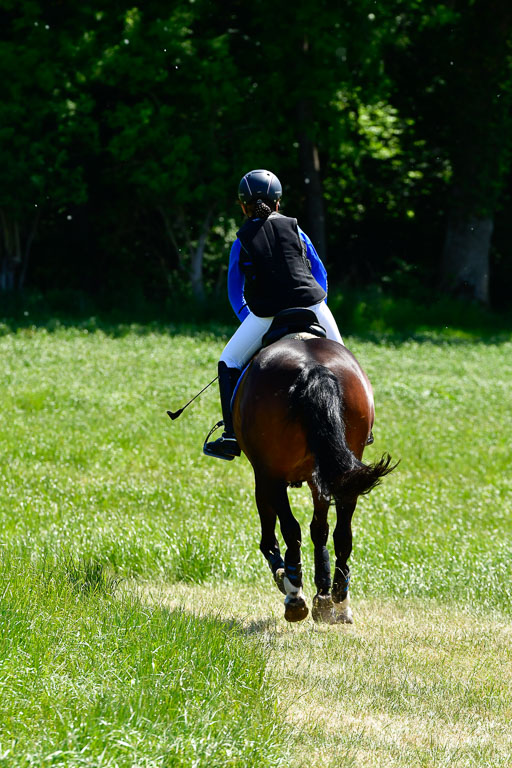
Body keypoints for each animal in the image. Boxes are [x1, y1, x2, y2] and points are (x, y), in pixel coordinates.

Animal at [232, 336, 396, 624]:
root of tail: (312, 367)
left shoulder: (262, 474)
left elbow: (271, 534)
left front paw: (283, 575)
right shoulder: (318, 477)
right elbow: (320, 529)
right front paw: (323, 595)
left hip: (272, 474)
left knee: (290, 529)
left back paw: (294, 592)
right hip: (343, 473)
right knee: (342, 534)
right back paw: (340, 600)